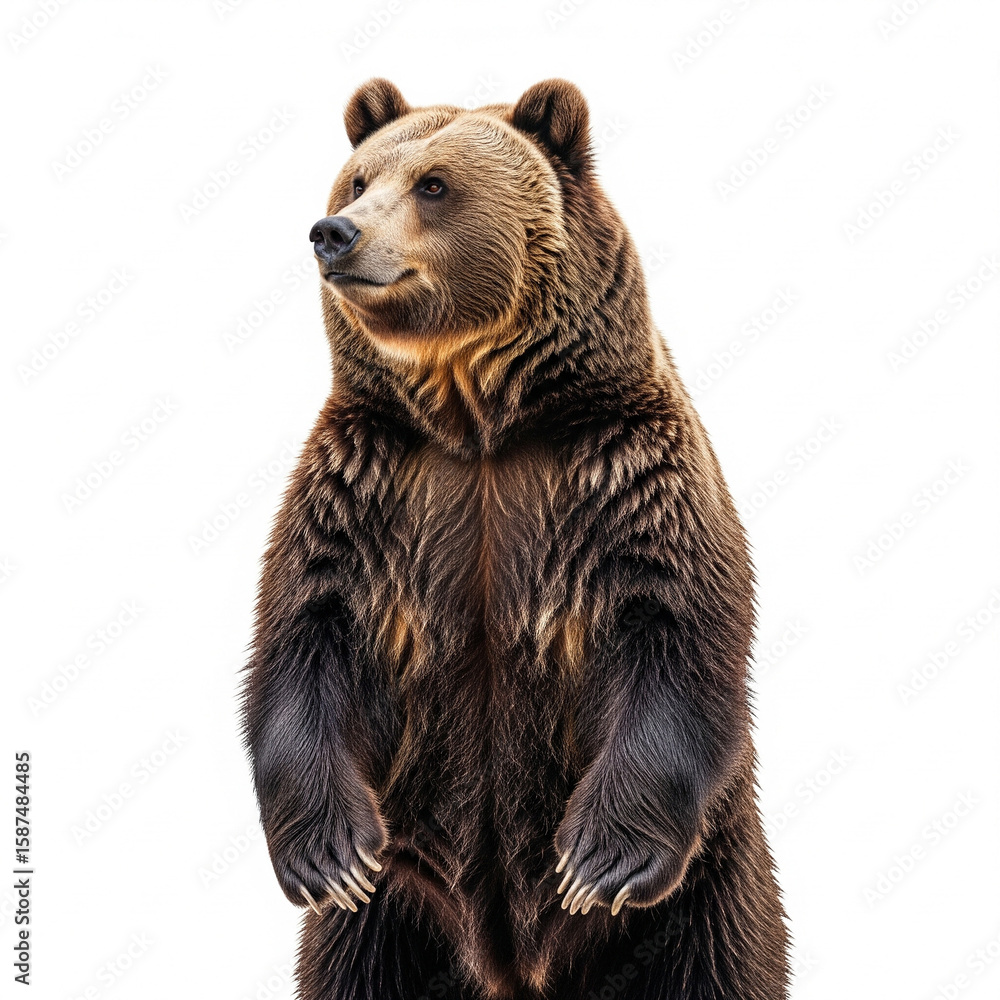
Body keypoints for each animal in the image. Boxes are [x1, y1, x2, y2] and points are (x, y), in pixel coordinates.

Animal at [242, 78, 789, 999]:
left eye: (433, 184)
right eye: (358, 179)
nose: (334, 233)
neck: (478, 423)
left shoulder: (621, 475)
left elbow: (675, 628)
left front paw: (600, 860)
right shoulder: (370, 484)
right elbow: (308, 630)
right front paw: (328, 855)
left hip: (708, 886)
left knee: (716, 962)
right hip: (400, 906)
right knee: (358, 964)